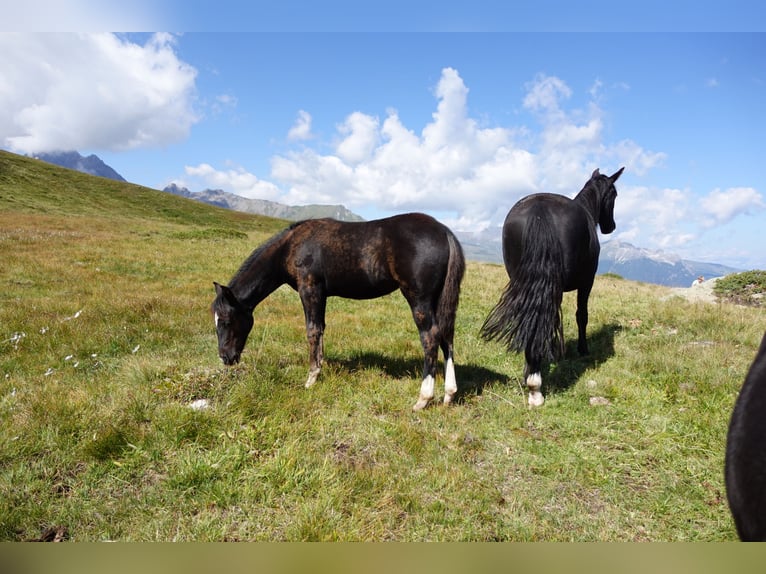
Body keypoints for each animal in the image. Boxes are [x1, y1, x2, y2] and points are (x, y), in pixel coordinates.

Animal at [211, 212, 465, 411]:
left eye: (225, 320)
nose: (225, 357)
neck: (290, 246)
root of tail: (444, 231)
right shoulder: (321, 294)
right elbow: (321, 329)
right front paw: (319, 368)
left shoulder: (310, 288)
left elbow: (312, 330)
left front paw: (311, 378)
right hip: (439, 300)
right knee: (446, 336)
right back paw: (449, 394)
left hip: (419, 299)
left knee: (430, 337)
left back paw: (423, 398)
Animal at [480, 167, 624, 406]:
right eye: (614, 195)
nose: (610, 227)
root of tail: (539, 211)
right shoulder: (587, 282)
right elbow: (581, 315)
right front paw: (583, 349)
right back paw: (535, 385)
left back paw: (530, 373)